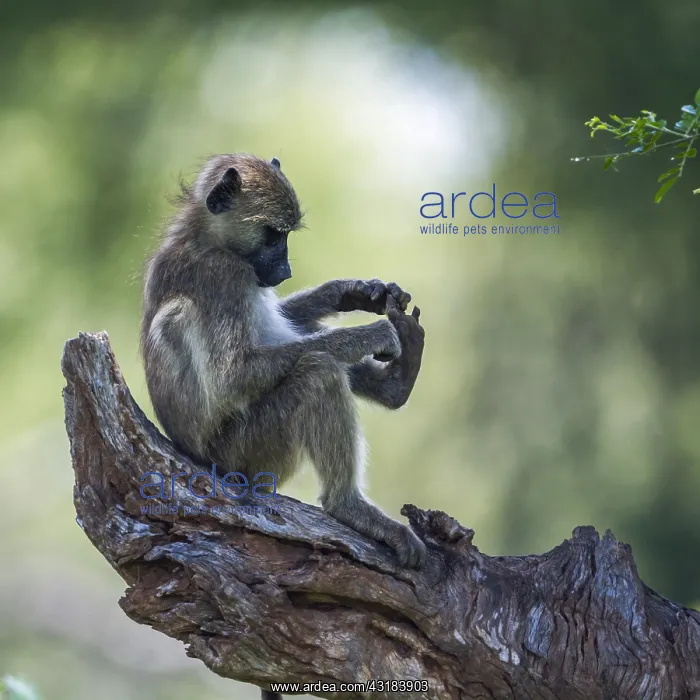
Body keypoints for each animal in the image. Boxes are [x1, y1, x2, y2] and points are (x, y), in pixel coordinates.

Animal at [140, 152, 427, 571]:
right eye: (273, 235)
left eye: (287, 235)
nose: (286, 270)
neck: (204, 236)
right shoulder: (223, 276)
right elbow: (235, 376)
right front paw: (374, 334)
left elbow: (288, 322)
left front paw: (351, 292)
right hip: (246, 453)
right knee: (318, 371)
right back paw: (347, 506)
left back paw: (396, 385)